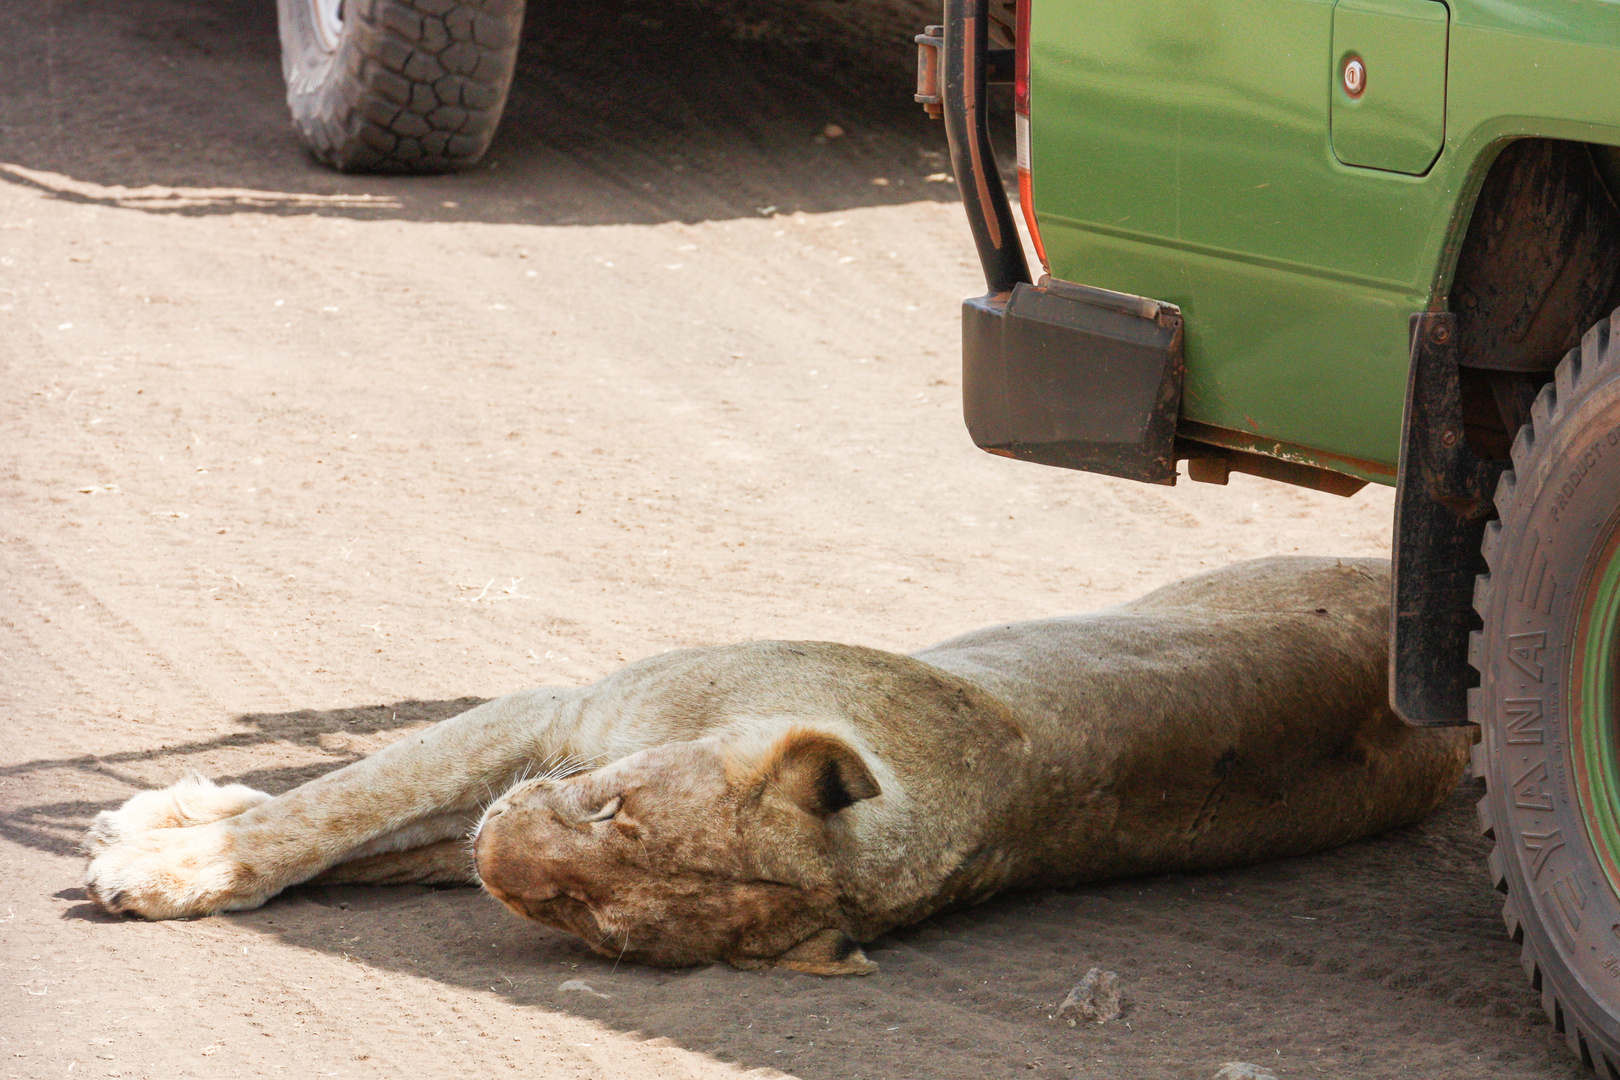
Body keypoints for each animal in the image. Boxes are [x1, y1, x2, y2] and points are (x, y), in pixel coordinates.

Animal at [78, 563, 1470, 977]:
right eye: (613, 805)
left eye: (602, 931)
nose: (501, 859)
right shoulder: (559, 718)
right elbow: (340, 804)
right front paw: (179, 831)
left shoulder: (534, 764)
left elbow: (364, 824)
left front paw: (161, 856)